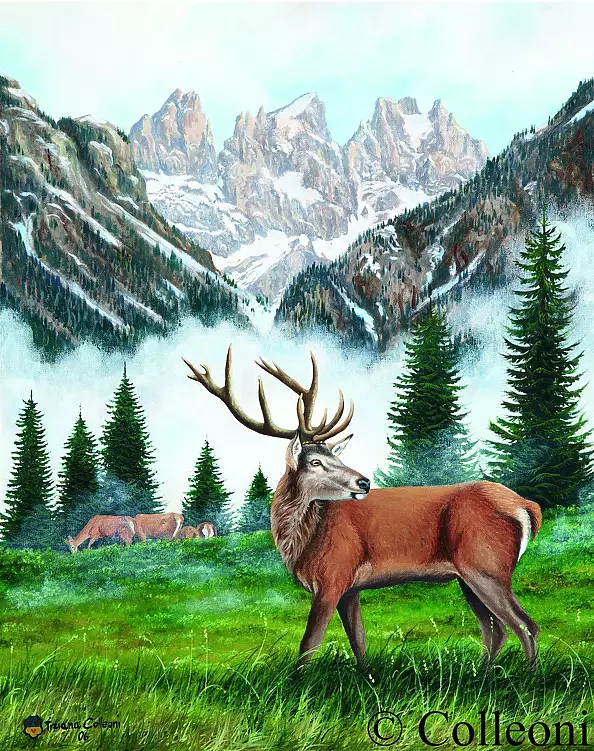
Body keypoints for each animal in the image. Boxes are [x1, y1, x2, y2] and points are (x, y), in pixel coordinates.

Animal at [183, 345, 542, 669]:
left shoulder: (333, 576)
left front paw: (296, 684)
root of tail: (526, 506)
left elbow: (309, 645)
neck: (304, 542)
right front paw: (366, 677)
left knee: (525, 625)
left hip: (486, 566)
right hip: (467, 577)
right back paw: (485, 675)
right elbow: (358, 641)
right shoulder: (350, 588)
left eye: (336, 456)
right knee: (496, 630)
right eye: (316, 462)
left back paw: (526, 678)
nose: (364, 482)